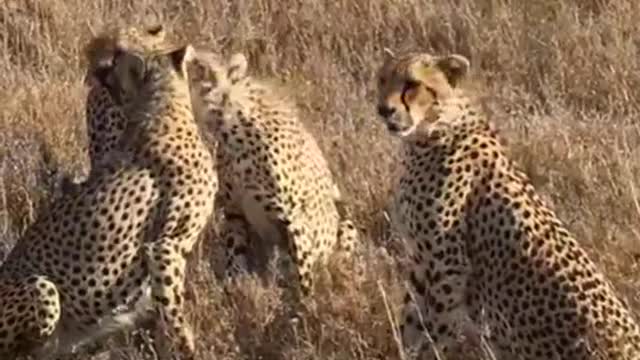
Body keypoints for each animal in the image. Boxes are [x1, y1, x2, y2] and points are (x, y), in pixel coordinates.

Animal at [0, 34, 216, 360]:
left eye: (115, 62)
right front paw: (188, 350)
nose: (97, 72)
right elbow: (173, 314)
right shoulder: (164, 245)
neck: (164, 105)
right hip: (42, 287)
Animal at [188, 50, 362, 296]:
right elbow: (235, 257)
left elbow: (304, 275)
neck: (231, 128)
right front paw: (235, 290)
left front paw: (305, 304)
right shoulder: (234, 211)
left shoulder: (295, 218)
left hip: (343, 221)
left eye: (201, 66)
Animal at [376, 50, 640, 360]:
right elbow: (411, 321)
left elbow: (434, 327)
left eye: (412, 84)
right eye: (382, 80)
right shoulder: (421, 260)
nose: (384, 110)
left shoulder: (447, 268)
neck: (435, 129)